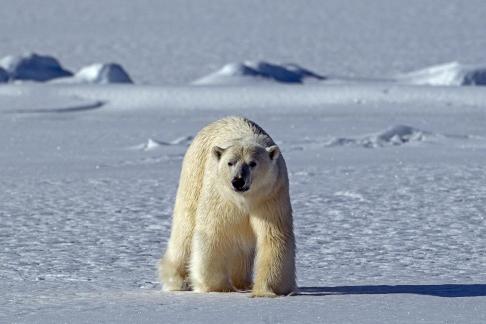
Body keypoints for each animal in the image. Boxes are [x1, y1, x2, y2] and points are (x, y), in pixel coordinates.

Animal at [159, 116, 296, 296]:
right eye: (230, 163)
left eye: (253, 163)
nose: (238, 181)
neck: (244, 200)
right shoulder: (221, 198)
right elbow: (215, 233)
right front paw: (218, 287)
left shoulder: (270, 197)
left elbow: (273, 236)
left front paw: (268, 290)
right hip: (194, 172)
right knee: (185, 228)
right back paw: (178, 281)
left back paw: (243, 282)